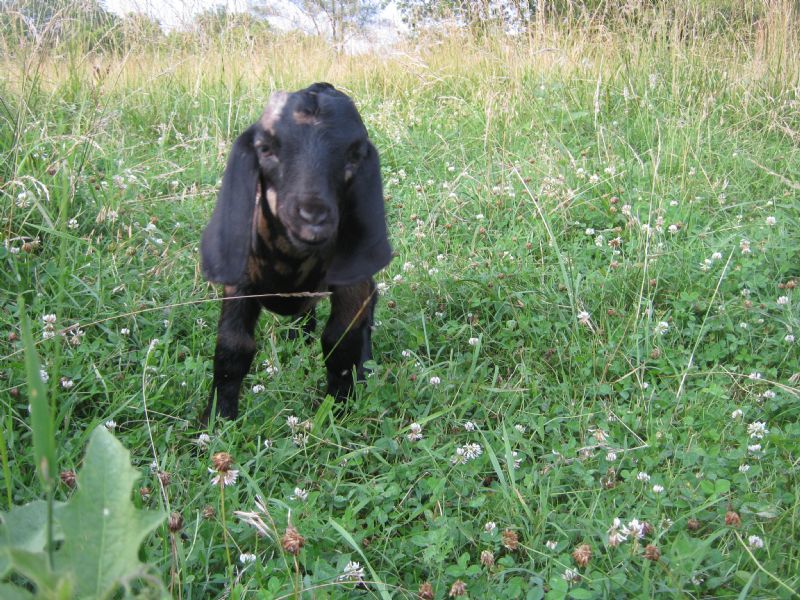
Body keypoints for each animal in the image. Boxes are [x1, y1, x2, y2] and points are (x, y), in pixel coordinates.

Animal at [202, 82, 392, 420]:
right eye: (265, 148)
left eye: (355, 155)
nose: (312, 216)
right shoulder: (240, 282)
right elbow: (232, 348)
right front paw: (217, 417)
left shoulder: (350, 283)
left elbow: (340, 343)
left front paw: (338, 409)